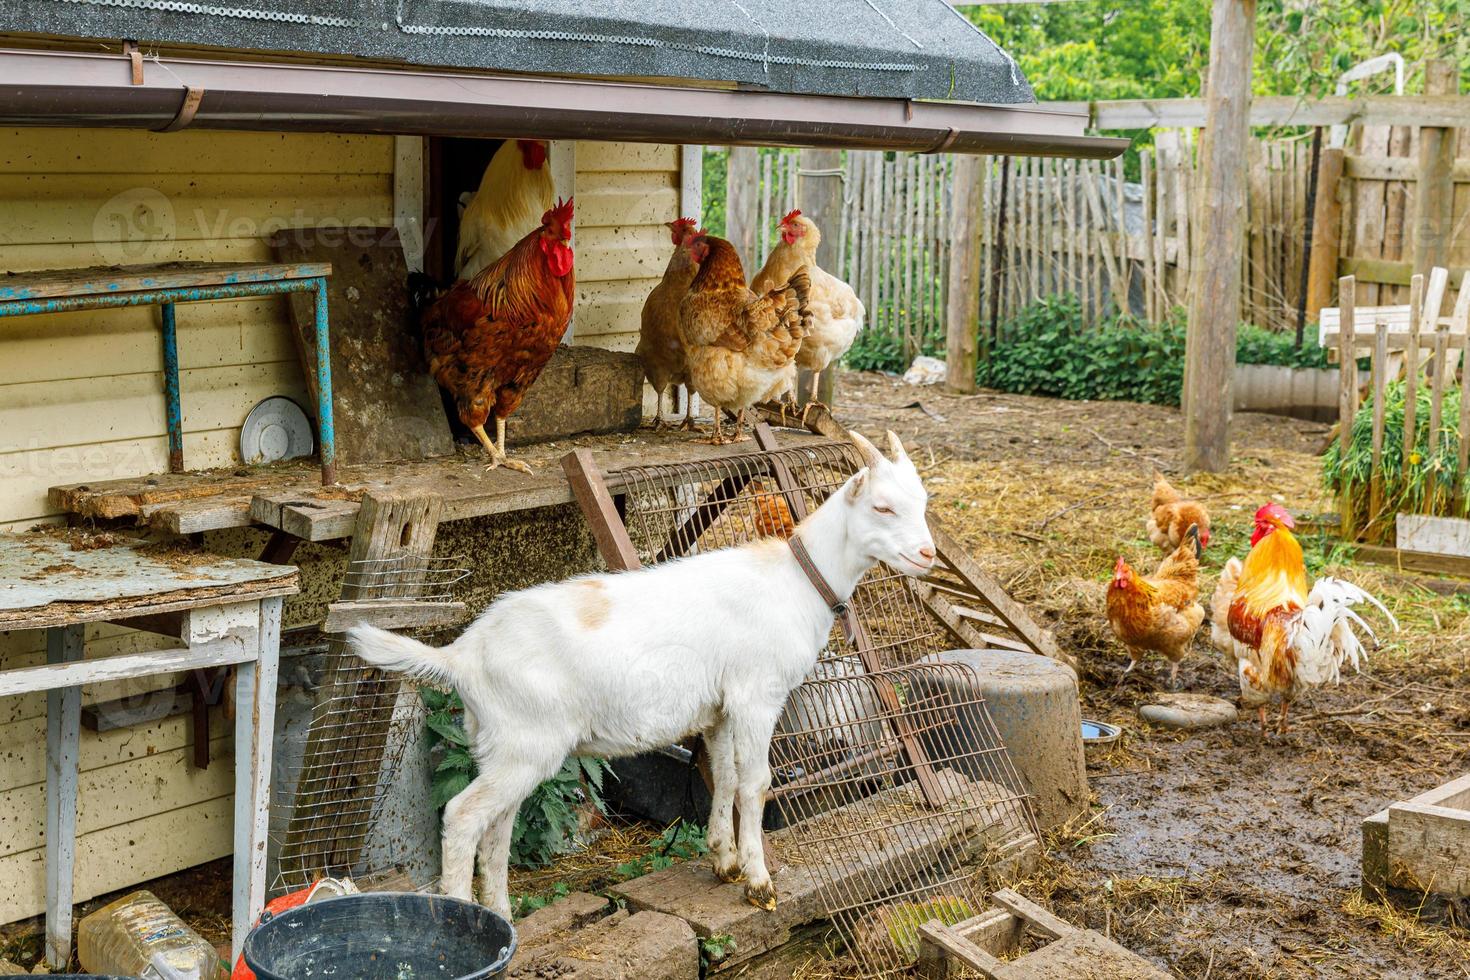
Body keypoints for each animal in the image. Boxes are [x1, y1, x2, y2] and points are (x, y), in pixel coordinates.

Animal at [349, 431, 934, 916]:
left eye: (923, 502)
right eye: (882, 506)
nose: (928, 553)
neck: (796, 579)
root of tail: (464, 654)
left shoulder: (720, 708)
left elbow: (723, 776)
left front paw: (723, 861)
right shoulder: (756, 696)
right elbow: (754, 784)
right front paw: (758, 882)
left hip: (502, 745)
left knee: (497, 829)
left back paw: (501, 918)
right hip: (526, 742)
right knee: (462, 816)